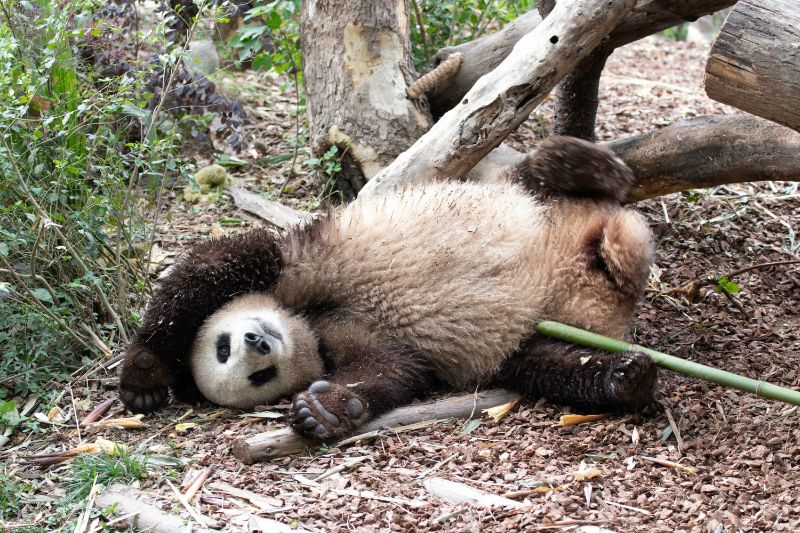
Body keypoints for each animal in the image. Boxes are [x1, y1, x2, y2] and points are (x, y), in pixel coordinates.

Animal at [119, 135, 656, 438]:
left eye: (222, 345)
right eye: (256, 376)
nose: (257, 341)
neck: (307, 323)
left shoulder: (294, 267)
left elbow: (217, 266)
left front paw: (144, 376)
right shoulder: (362, 340)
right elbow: (391, 370)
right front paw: (324, 411)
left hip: (517, 198)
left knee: (536, 175)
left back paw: (583, 163)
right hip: (537, 335)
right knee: (554, 364)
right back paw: (627, 378)